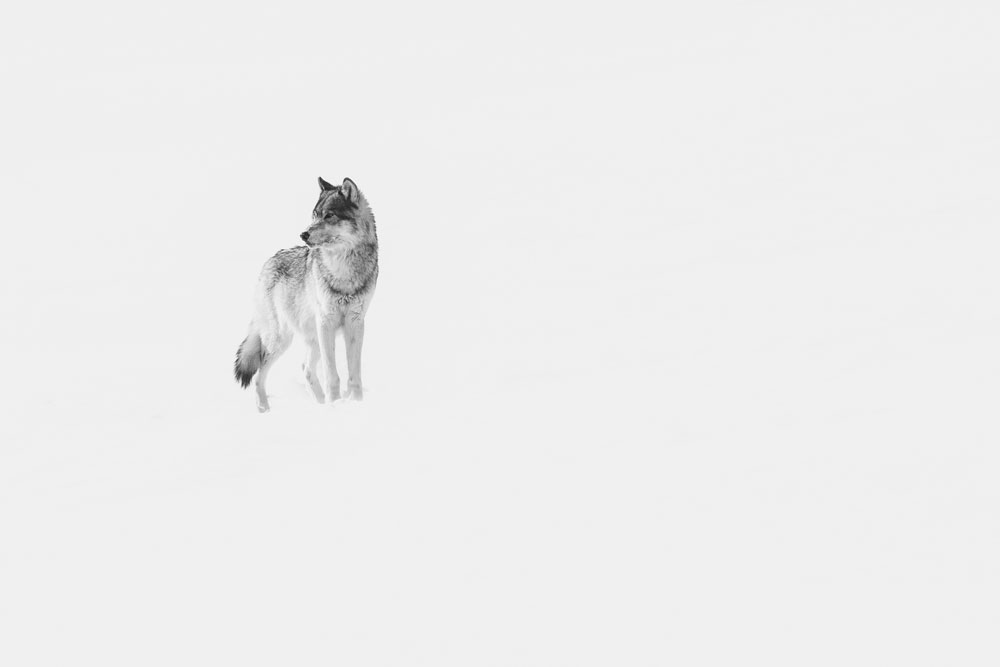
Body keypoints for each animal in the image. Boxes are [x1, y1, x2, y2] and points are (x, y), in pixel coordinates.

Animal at [234, 177, 378, 412]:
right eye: (315, 214)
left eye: (329, 215)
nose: (304, 234)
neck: (343, 271)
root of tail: (268, 262)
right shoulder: (326, 322)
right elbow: (332, 374)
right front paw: (335, 403)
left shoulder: (355, 323)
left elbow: (354, 373)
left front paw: (355, 401)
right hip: (282, 338)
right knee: (259, 373)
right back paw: (264, 408)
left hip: (313, 337)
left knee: (306, 368)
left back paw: (319, 403)